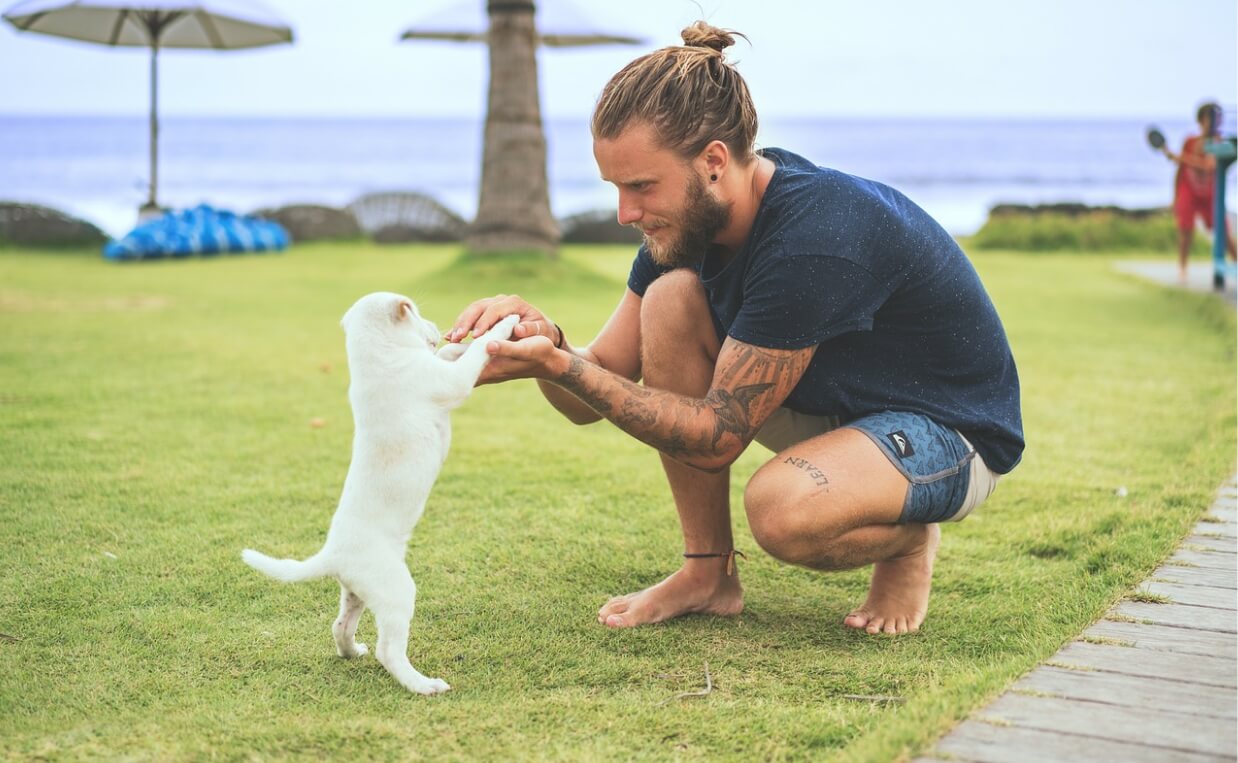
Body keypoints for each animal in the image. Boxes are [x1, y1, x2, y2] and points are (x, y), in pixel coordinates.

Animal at [243, 293, 515, 698]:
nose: (440, 328)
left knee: (340, 626)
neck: (377, 355)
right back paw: (423, 685)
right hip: (397, 591)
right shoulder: (448, 382)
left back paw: (352, 651)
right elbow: (476, 353)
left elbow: (450, 354)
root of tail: (332, 555)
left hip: (357, 592)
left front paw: (460, 342)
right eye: (417, 312)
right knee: (389, 651)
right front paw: (504, 325)